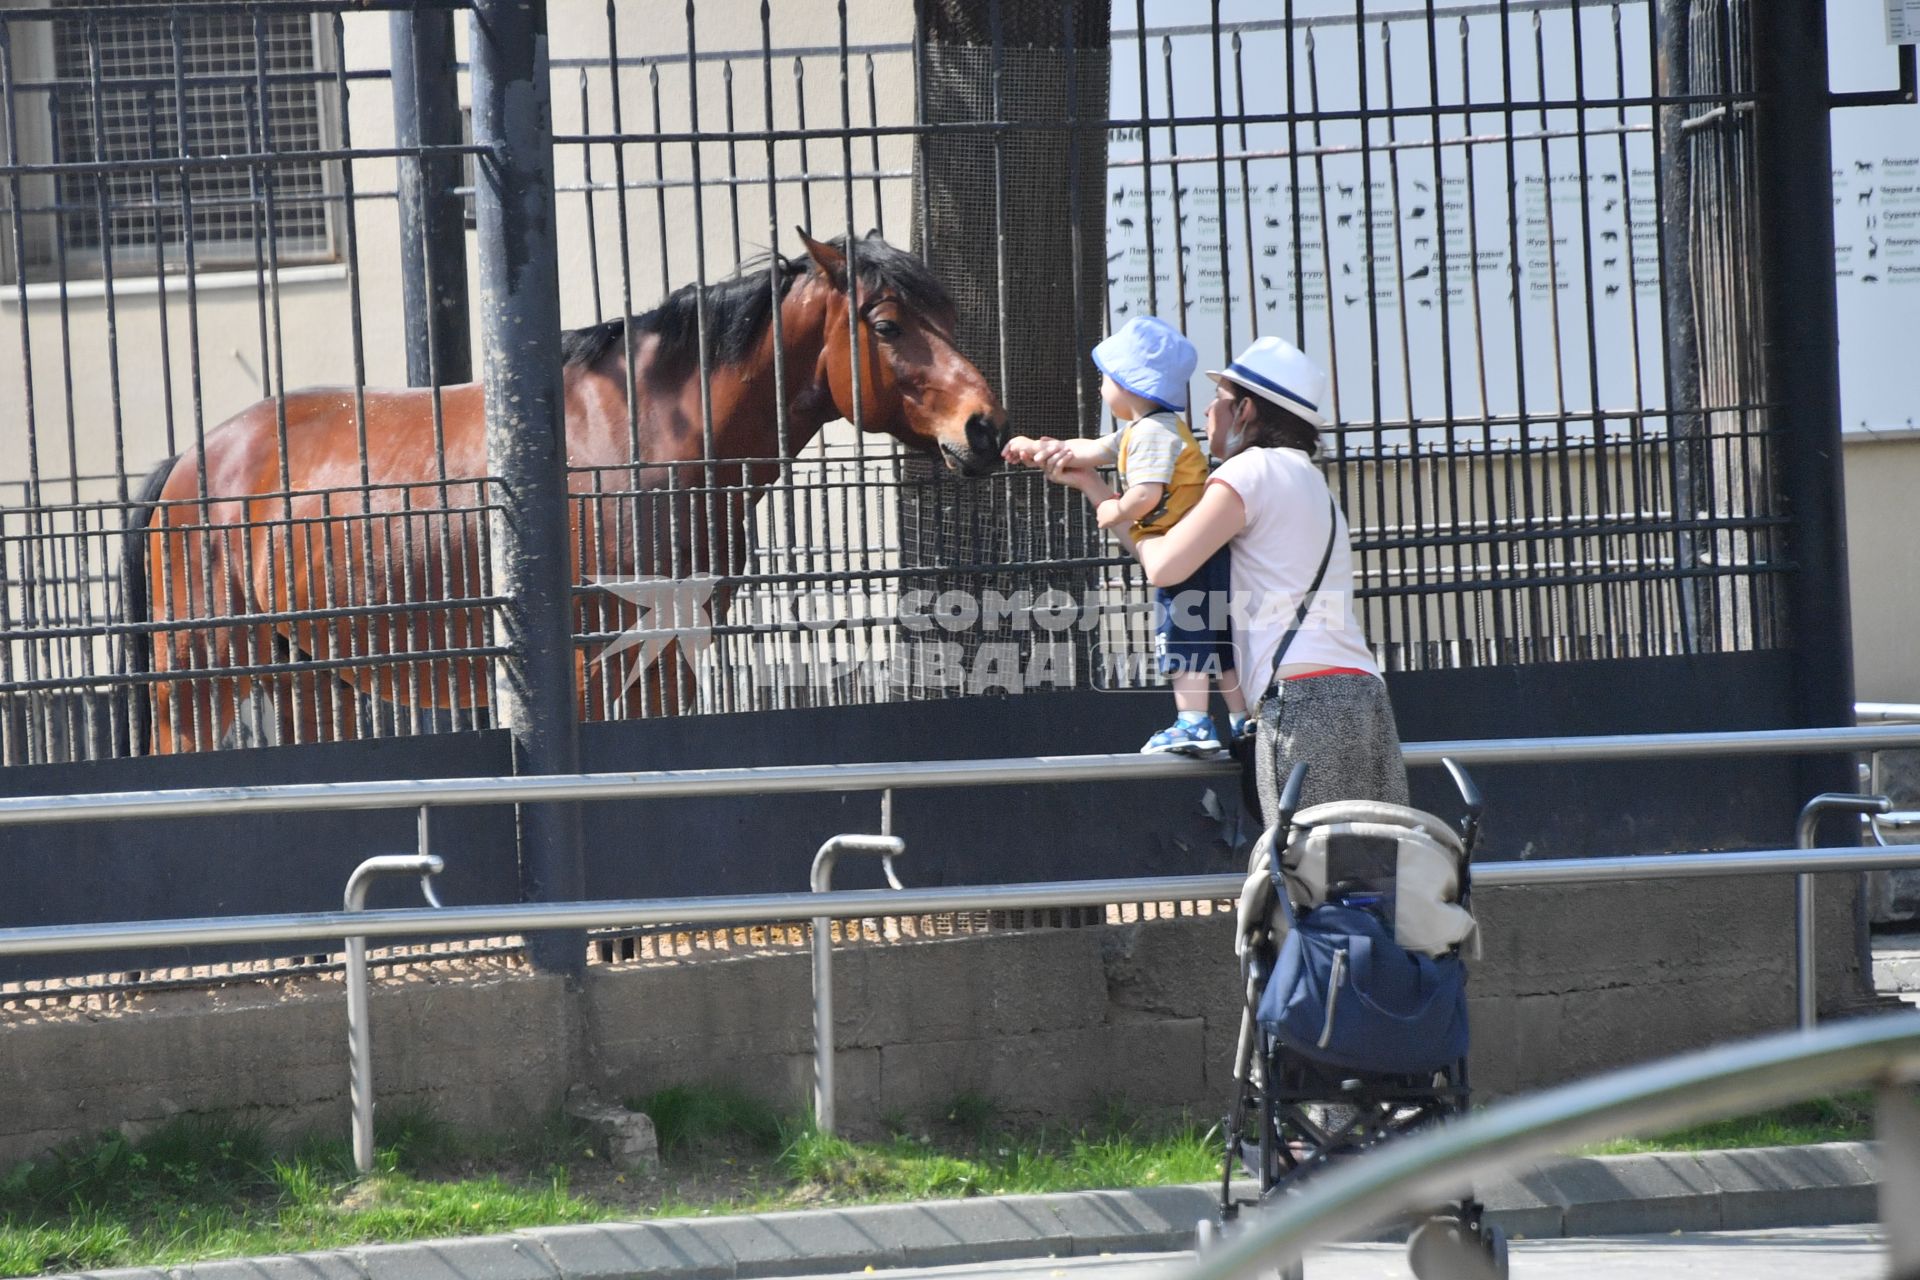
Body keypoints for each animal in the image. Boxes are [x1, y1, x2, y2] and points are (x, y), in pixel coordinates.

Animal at [123, 233, 1006, 752]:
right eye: (886, 325)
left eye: (949, 317)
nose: (987, 428)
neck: (655, 435)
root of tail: (193, 460)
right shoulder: (591, 664)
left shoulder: (668, 650)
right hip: (202, 673)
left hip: (306, 674)